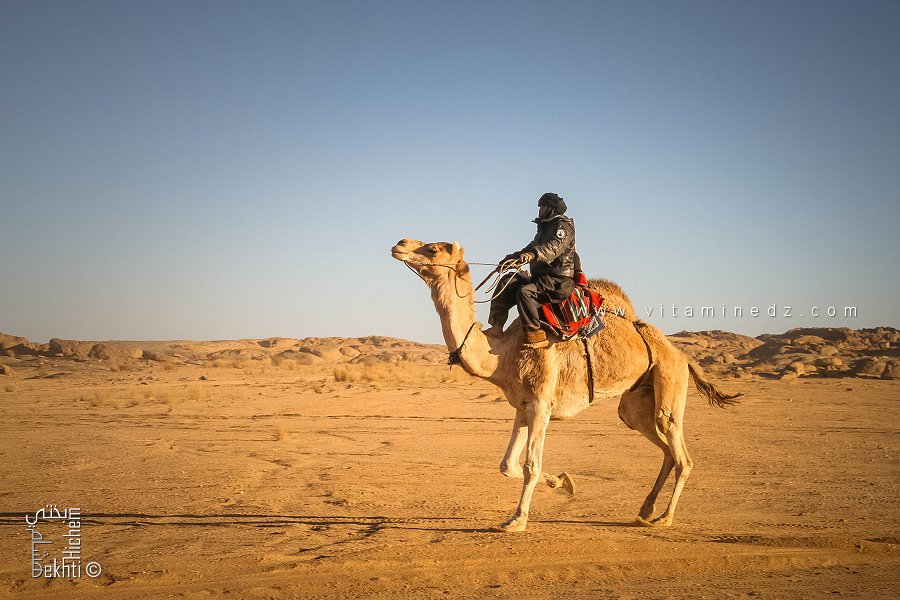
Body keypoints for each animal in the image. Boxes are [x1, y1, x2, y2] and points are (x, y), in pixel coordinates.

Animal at [391, 239, 740, 532]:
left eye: (434, 249)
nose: (399, 244)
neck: (501, 354)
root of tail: (683, 356)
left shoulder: (541, 405)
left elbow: (530, 464)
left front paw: (517, 520)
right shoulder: (523, 406)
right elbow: (508, 464)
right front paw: (562, 482)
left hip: (669, 380)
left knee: (680, 453)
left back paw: (664, 518)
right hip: (635, 403)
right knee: (663, 447)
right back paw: (645, 510)